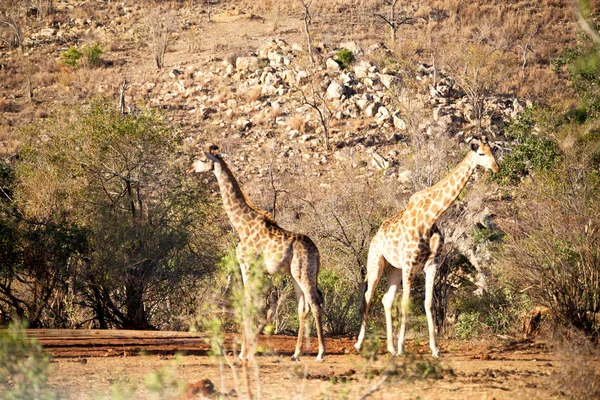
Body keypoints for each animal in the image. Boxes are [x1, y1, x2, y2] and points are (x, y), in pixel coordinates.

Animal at [192, 145, 326, 362]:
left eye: (202, 159)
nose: (191, 167)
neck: (242, 224)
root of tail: (317, 252)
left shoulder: (247, 267)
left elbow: (248, 304)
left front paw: (243, 353)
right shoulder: (257, 272)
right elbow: (255, 305)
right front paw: (247, 351)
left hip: (304, 273)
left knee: (315, 304)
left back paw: (321, 353)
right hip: (295, 275)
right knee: (303, 308)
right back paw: (296, 354)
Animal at [354, 136, 500, 358]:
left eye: (493, 151)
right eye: (481, 154)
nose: (496, 168)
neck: (431, 217)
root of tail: (375, 237)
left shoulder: (432, 264)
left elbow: (428, 303)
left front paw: (435, 349)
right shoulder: (409, 264)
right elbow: (406, 303)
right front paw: (402, 348)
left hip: (394, 269)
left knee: (386, 300)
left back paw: (389, 347)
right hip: (376, 262)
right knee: (368, 295)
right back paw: (360, 344)